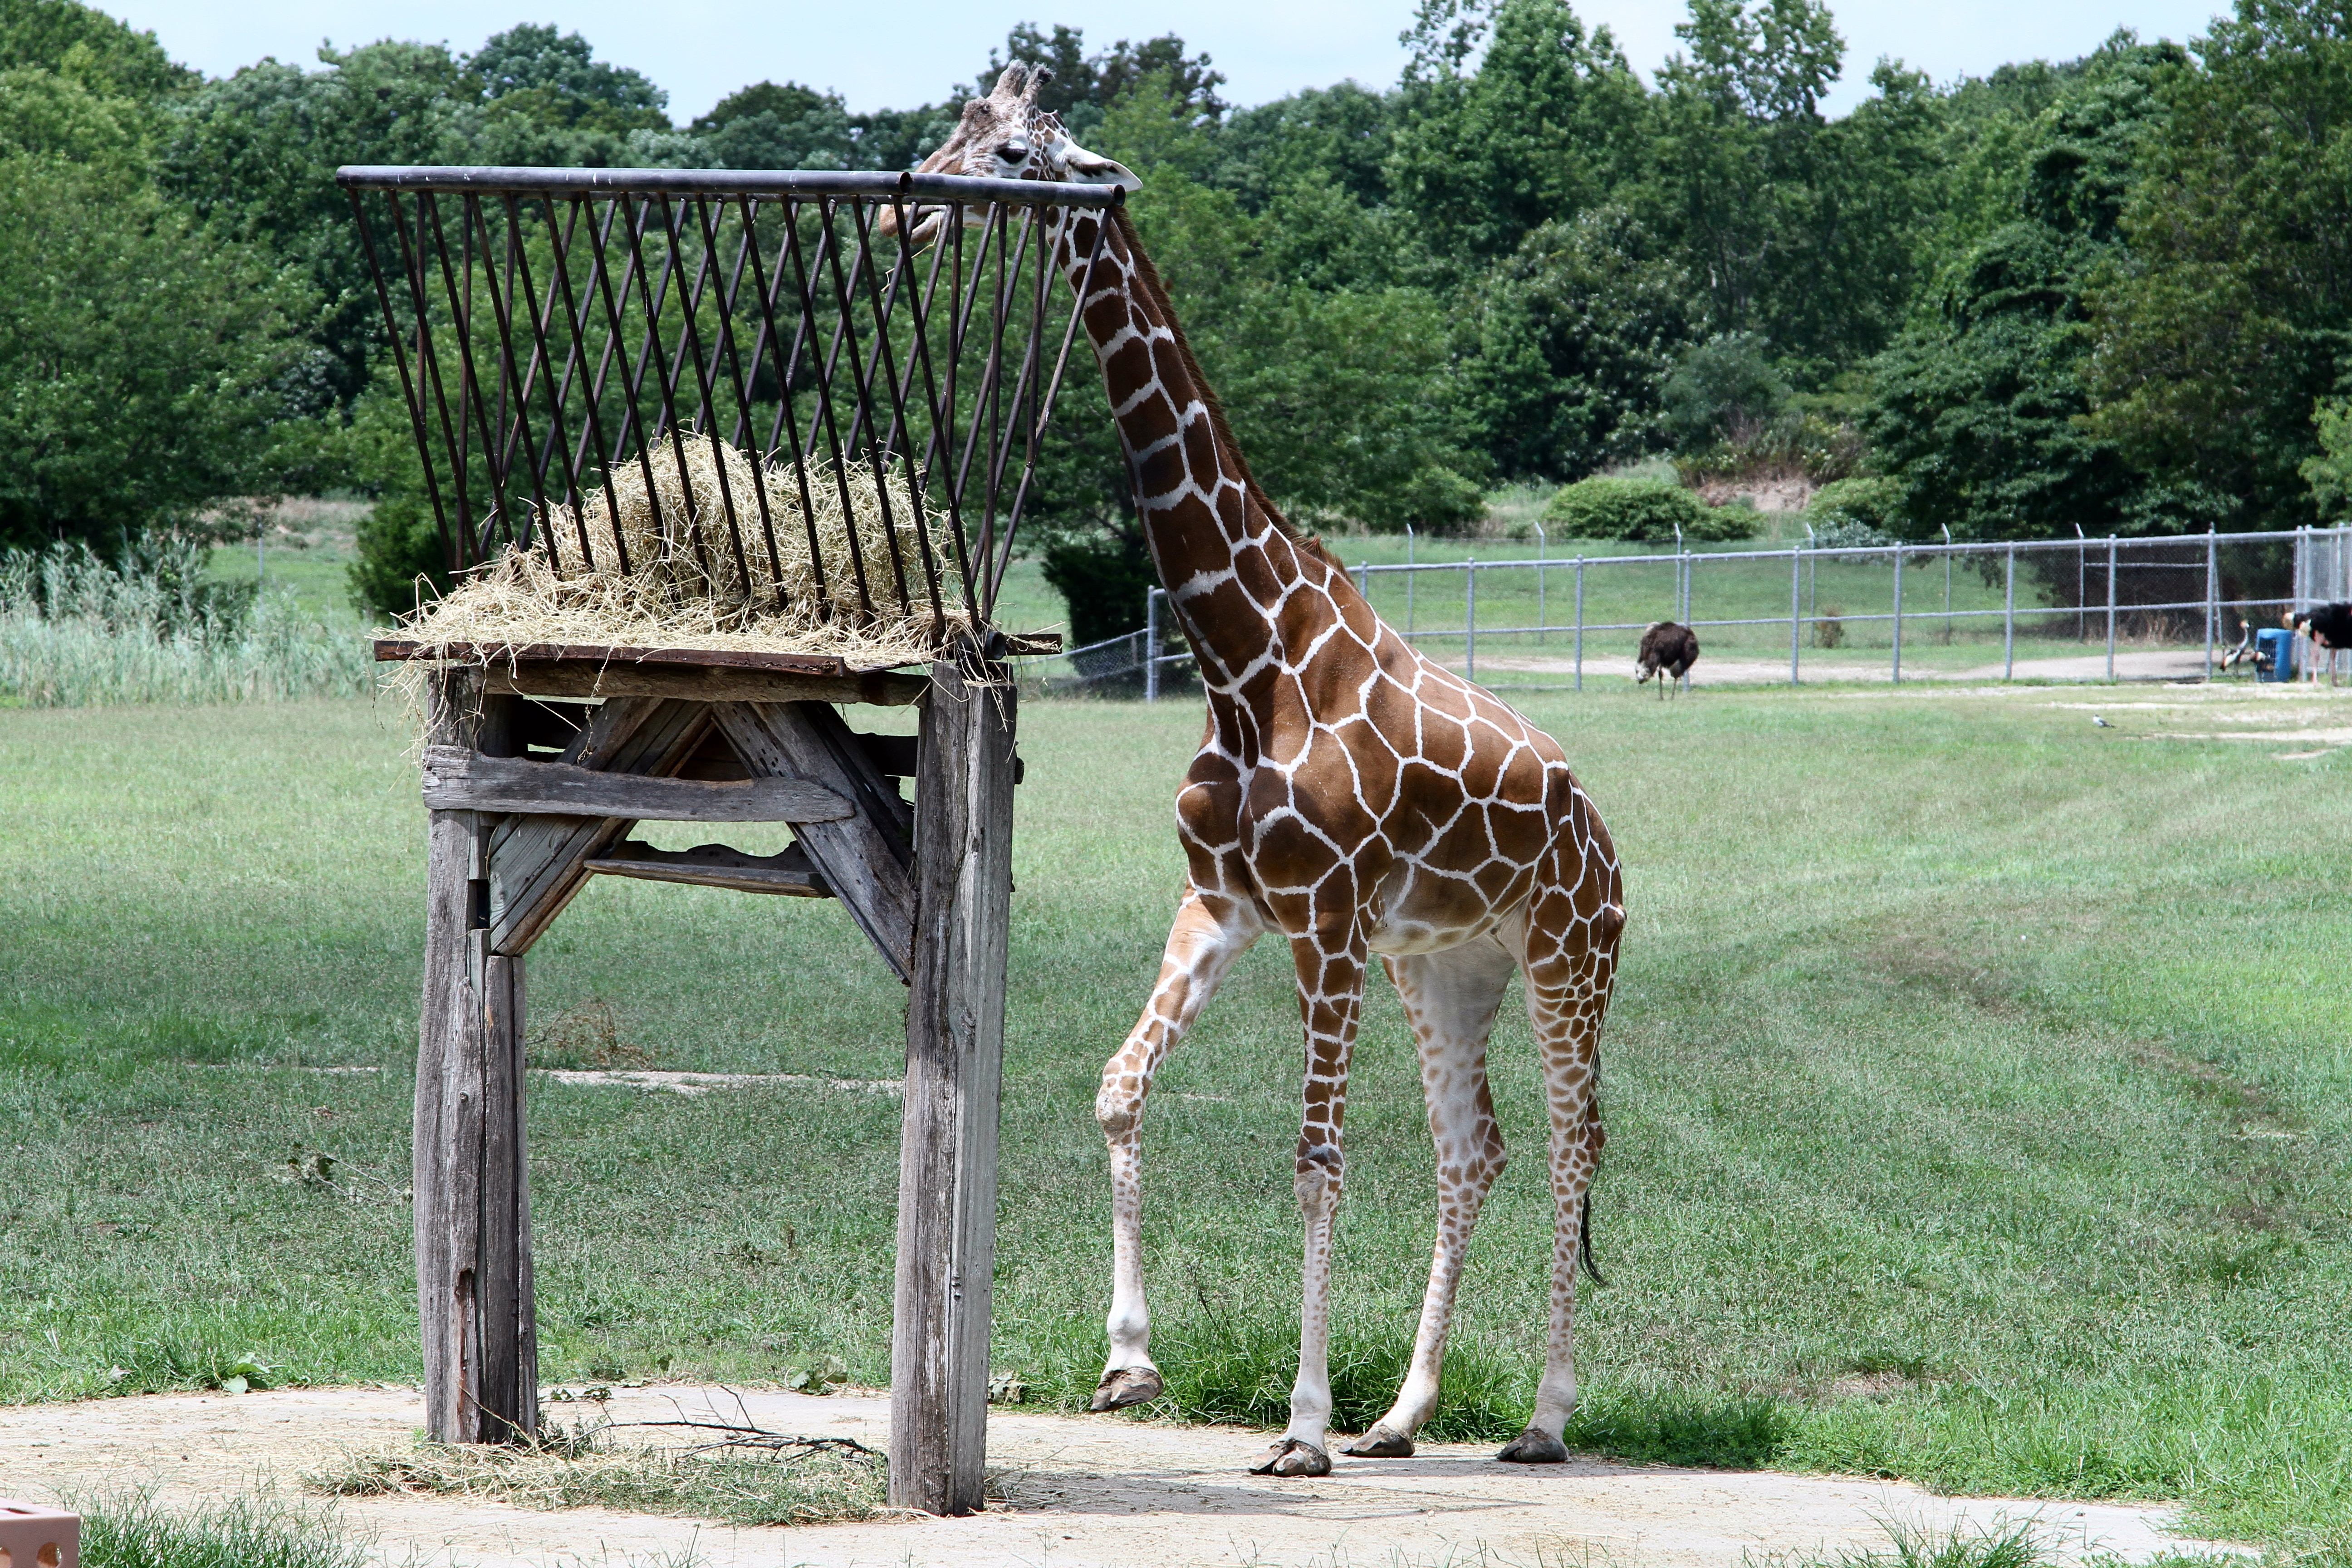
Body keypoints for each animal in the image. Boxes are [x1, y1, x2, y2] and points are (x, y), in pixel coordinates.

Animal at [898, 67, 1618, 1476]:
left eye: (1012, 153)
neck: (1247, 654)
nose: (912, 212)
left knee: (1573, 1145)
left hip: (1569, 954)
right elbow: (1119, 1090)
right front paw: (1129, 1360)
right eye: (951, 129)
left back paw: (1546, 1417)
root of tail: (1609, 838)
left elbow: (1316, 1158)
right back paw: (1405, 1414)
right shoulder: (1224, 902)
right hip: (1447, 965)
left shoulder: (1324, 919)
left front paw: (1300, 1425)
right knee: (1474, 1150)